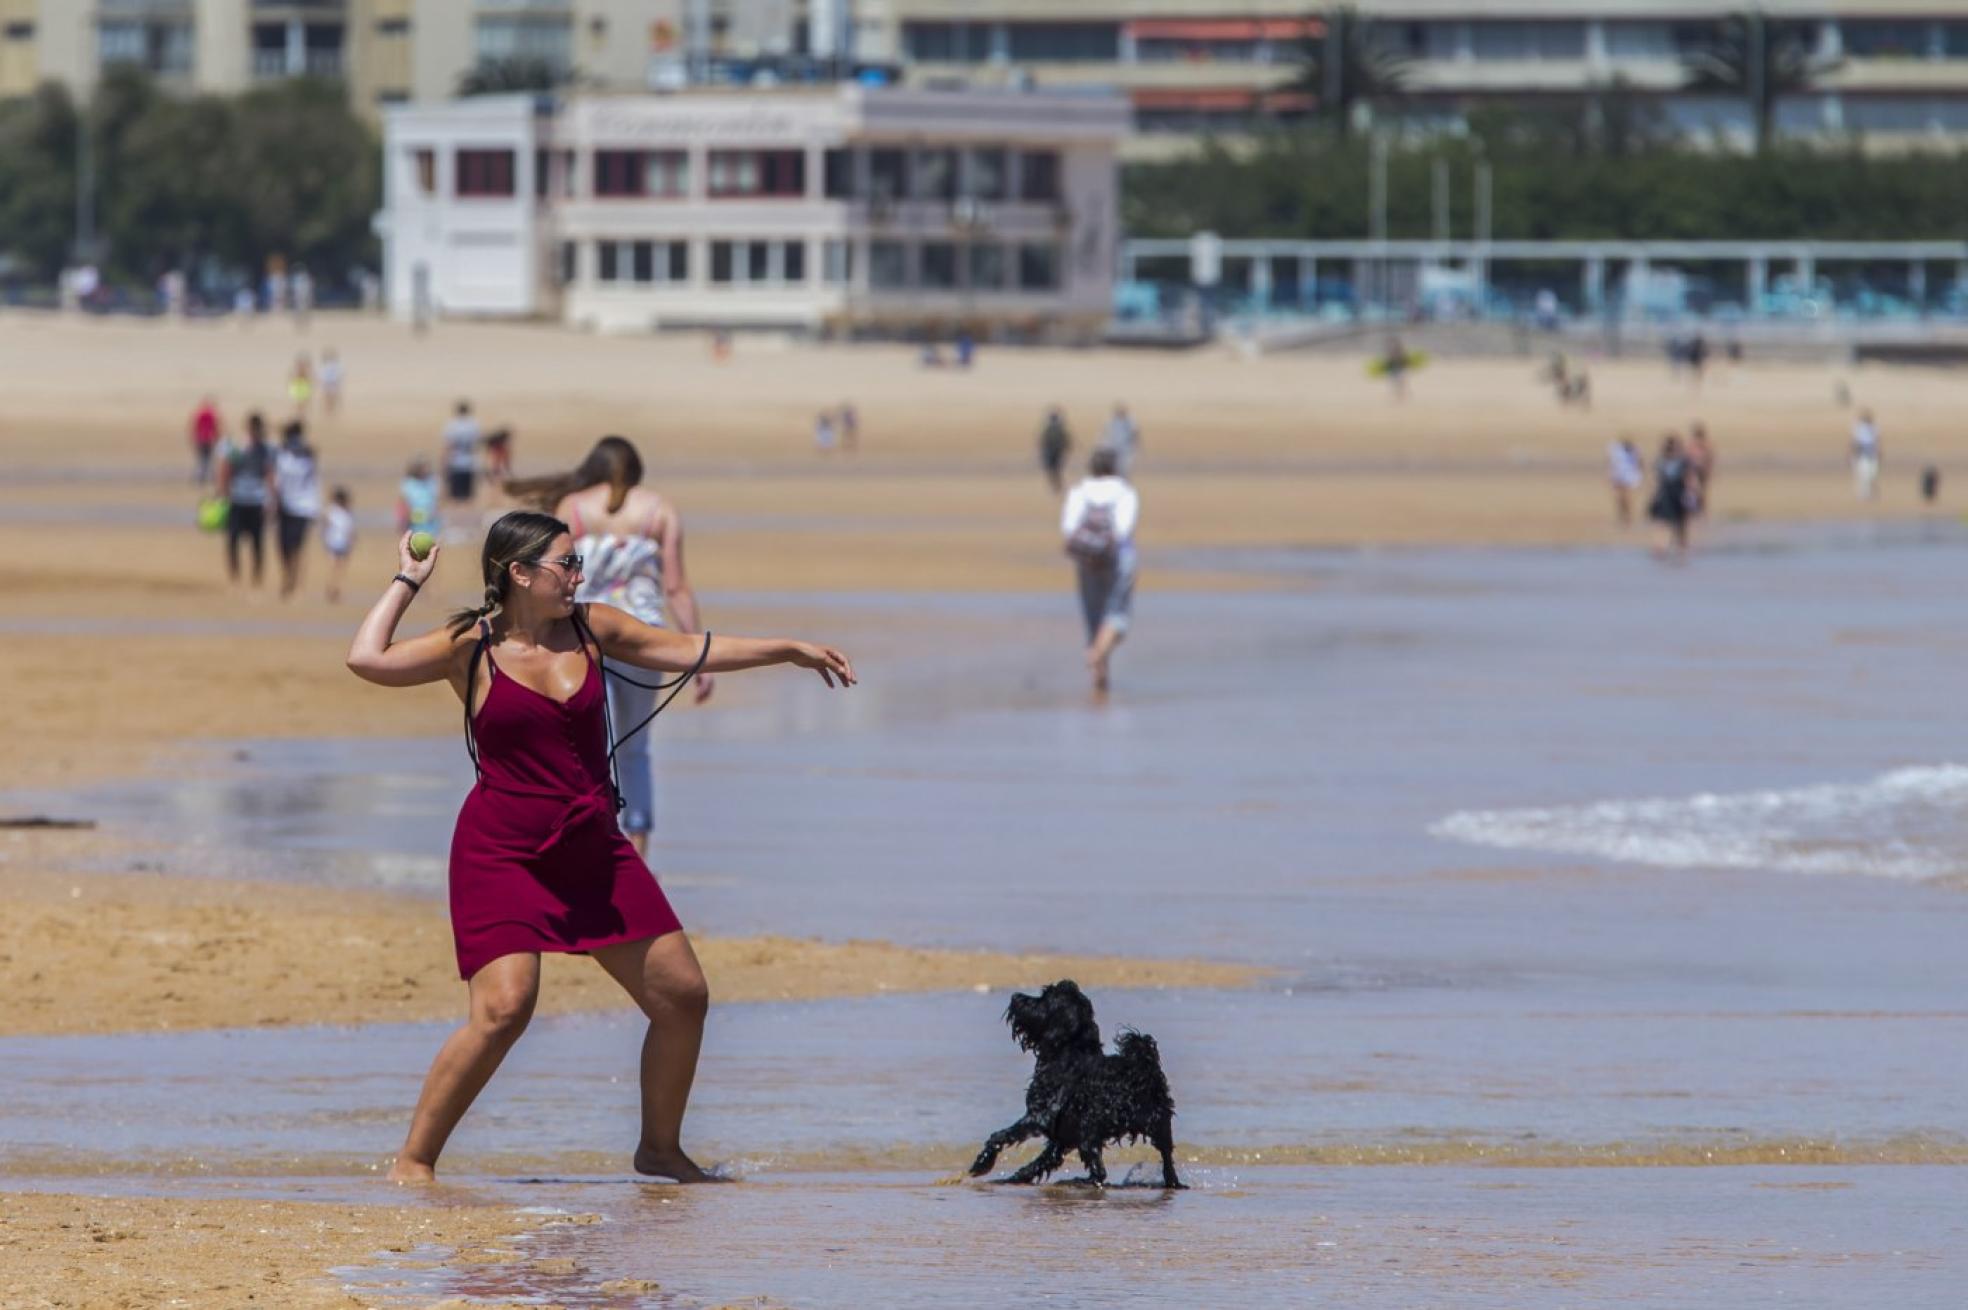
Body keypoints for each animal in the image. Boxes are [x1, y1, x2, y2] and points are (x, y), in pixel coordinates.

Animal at [960, 979, 1172, 1180]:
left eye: (1045, 997)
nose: (1015, 997)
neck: (1068, 1049)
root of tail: (1144, 1065)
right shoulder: (1062, 1137)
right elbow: (1043, 1160)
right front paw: (1017, 1175)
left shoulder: (1039, 1117)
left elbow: (1000, 1136)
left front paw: (982, 1162)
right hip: (1153, 1127)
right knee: (1165, 1163)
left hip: (1090, 1132)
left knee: (1099, 1172)